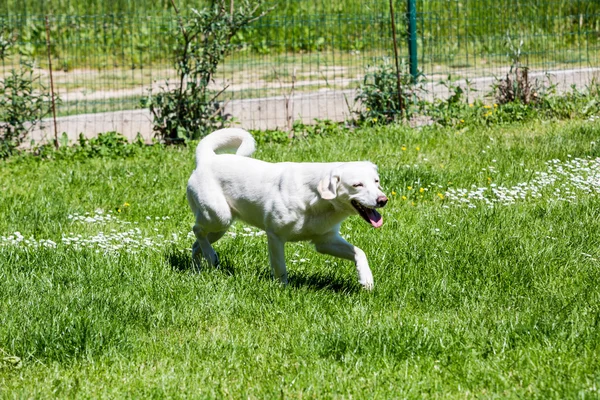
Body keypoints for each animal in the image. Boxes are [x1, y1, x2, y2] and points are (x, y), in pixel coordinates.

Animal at [185, 128, 386, 288]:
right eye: (357, 185)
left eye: (376, 181)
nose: (383, 200)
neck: (315, 198)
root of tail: (207, 158)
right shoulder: (275, 236)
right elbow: (280, 267)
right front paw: (282, 289)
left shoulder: (325, 241)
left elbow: (359, 252)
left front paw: (367, 281)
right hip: (219, 217)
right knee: (197, 230)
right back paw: (209, 256)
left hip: (219, 227)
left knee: (196, 244)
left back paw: (200, 267)